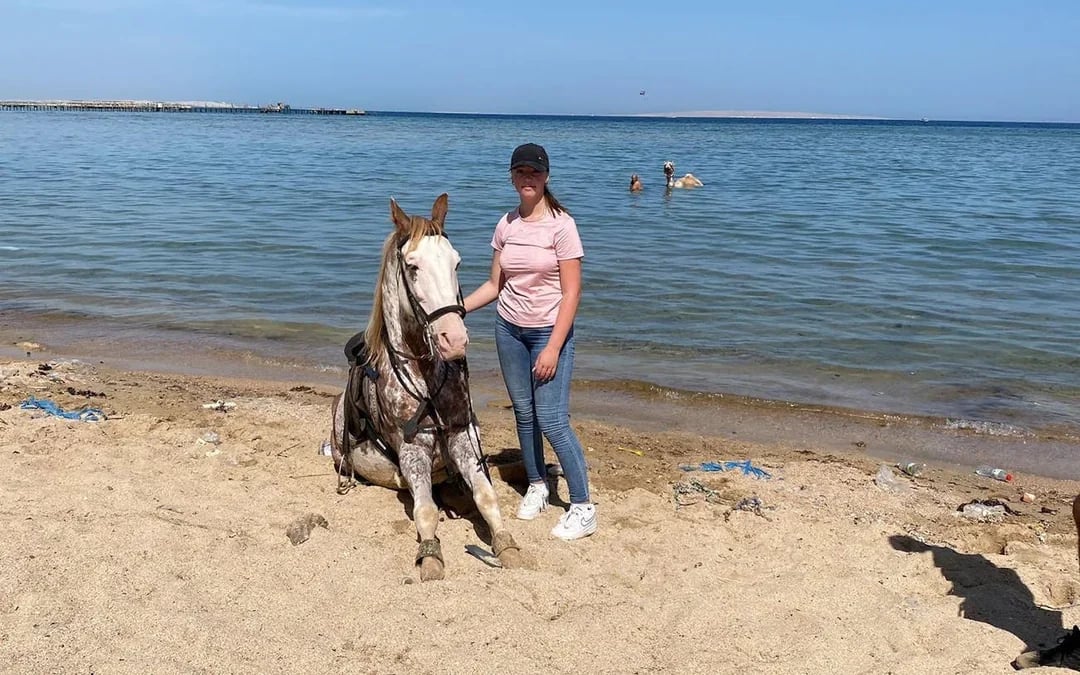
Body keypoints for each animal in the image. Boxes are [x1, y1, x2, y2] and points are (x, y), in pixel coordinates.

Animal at [330, 193, 523, 581]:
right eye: (413, 267)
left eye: (456, 262)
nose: (455, 339)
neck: (425, 376)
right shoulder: (413, 450)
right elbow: (426, 510)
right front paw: (431, 557)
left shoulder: (464, 437)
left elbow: (487, 496)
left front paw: (506, 546)